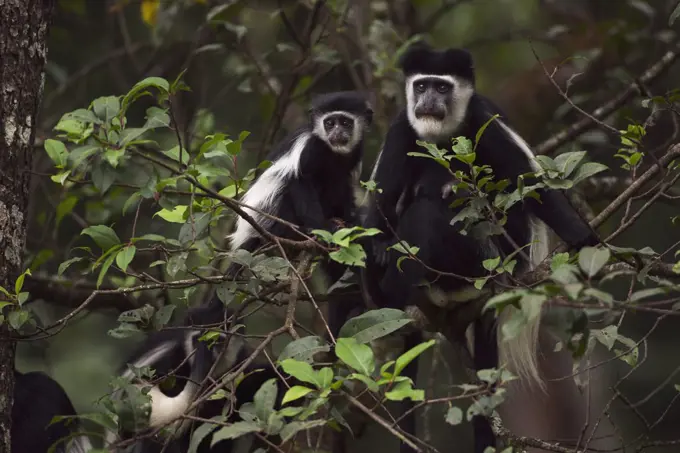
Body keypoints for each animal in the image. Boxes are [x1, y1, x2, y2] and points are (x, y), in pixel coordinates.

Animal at [364, 42, 596, 452]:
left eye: (442, 87)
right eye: (421, 85)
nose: (426, 100)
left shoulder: (484, 122)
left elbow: (531, 186)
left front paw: (582, 236)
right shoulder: (402, 131)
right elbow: (379, 208)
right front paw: (376, 249)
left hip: (489, 258)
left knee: (434, 211)